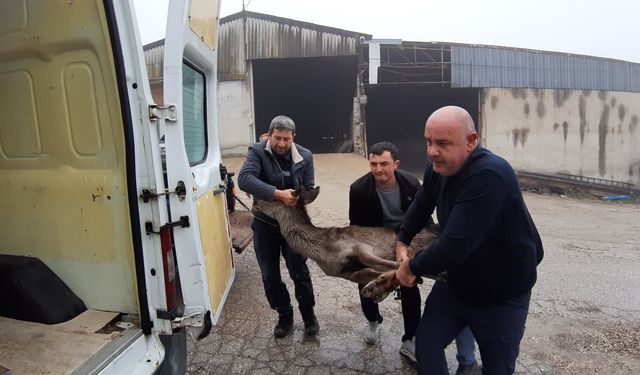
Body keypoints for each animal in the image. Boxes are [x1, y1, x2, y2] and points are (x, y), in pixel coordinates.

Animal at [248, 187, 442, 304]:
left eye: (275, 198)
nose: (255, 202)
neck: (323, 251)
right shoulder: (346, 273)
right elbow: (373, 271)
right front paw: (379, 287)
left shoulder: (360, 247)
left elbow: (392, 264)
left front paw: (378, 286)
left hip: (417, 245)